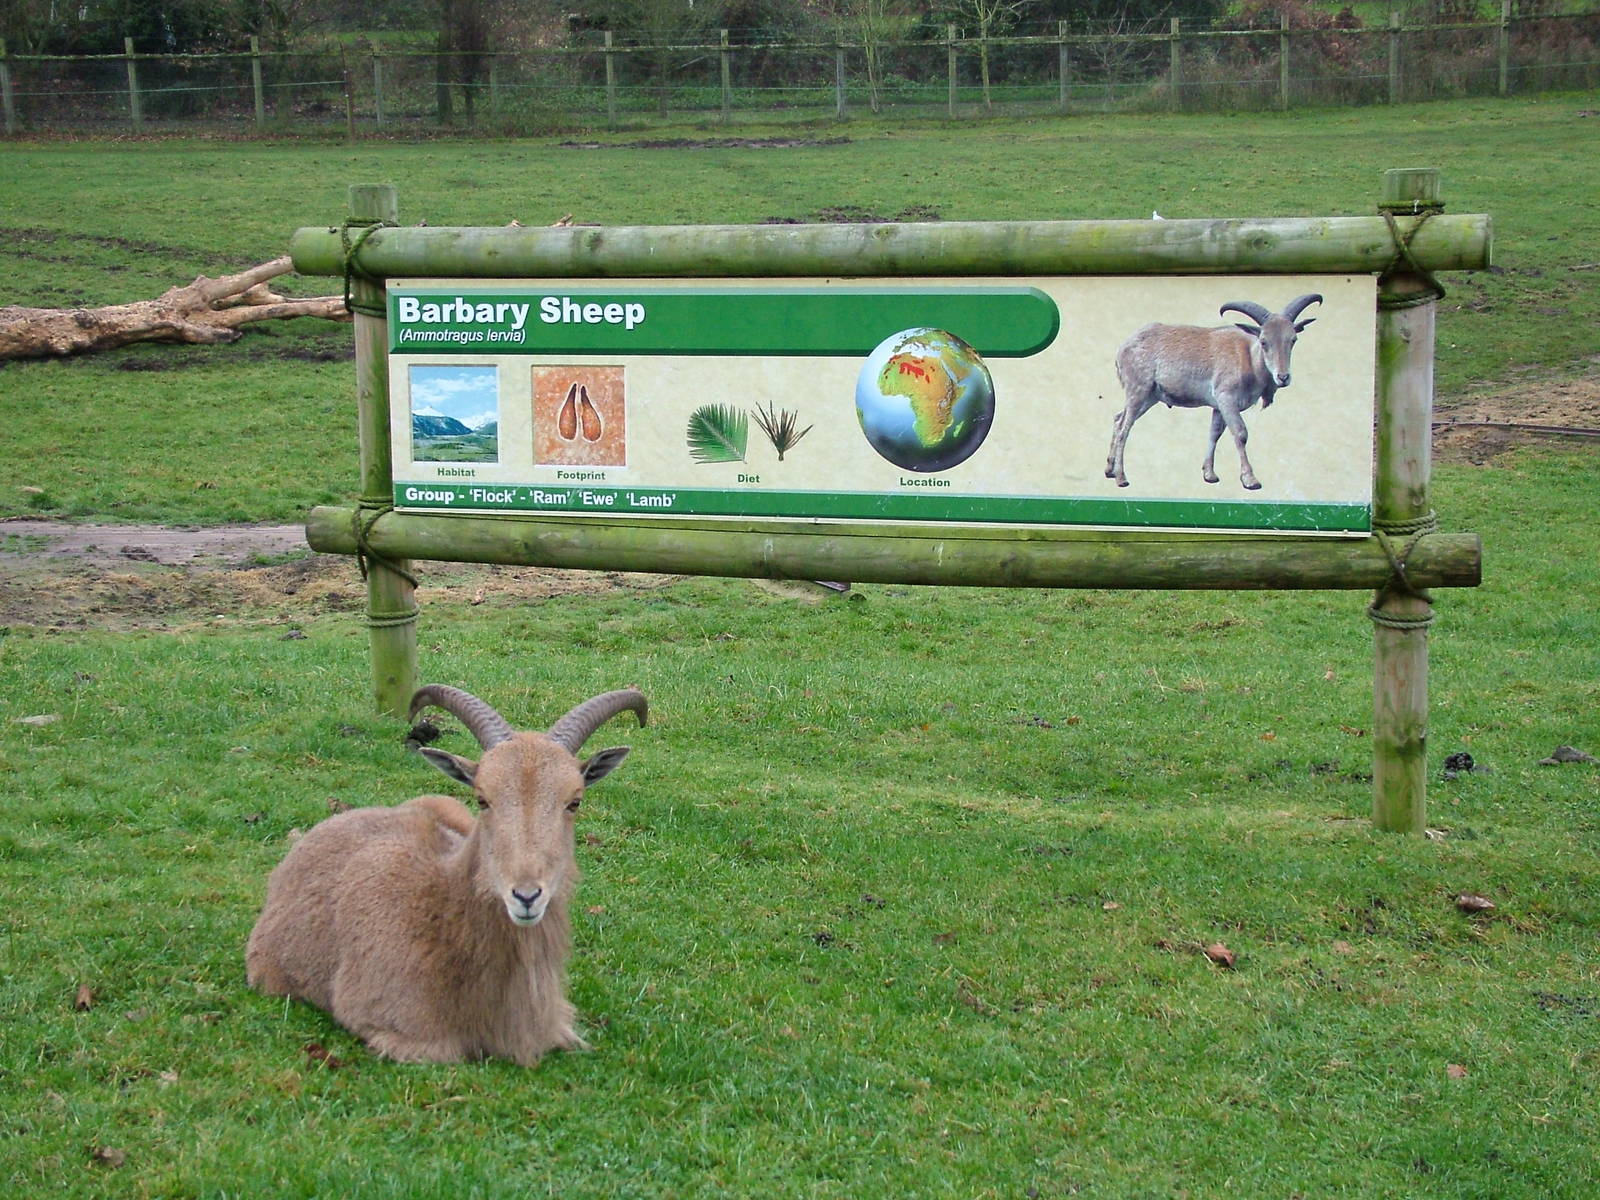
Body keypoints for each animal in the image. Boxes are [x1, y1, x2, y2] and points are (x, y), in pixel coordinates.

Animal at [1104, 293, 1323, 492]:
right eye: (1263, 341)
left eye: (1293, 339)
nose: (1283, 377)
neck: (1248, 358)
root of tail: (1121, 349)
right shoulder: (1227, 399)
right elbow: (1240, 433)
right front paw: (1250, 480)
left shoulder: (1219, 406)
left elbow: (1214, 433)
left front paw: (1209, 475)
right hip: (1138, 390)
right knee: (1124, 429)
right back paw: (1121, 478)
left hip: (1149, 397)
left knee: (1118, 418)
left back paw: (1109, 470)